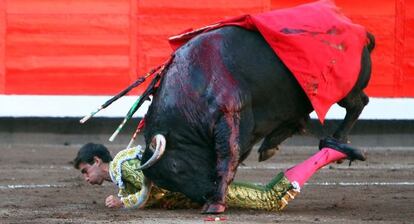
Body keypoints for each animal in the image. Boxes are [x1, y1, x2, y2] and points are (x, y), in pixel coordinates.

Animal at [142, 26, 376, 214]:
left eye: (175, 167)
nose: (204, 196)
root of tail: (361, 32)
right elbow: (236, 157)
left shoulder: (228, 115)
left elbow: (228, 156)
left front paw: (216, 204)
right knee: (299, 119)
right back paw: (271, 146)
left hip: (345, 89)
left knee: (358, 103)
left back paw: (338, 140)